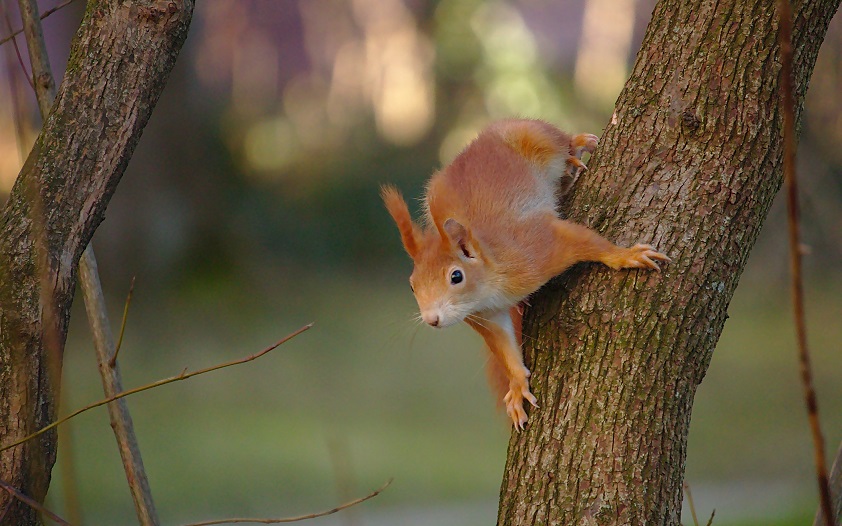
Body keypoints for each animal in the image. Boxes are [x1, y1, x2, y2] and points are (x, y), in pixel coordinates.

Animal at [382, 117, 668, 432]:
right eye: (412, 286)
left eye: (456, 277)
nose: (432, 320)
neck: (490, 288)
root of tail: (474, 143)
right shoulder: (486, 316)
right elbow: (504, 349)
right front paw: (518, 385)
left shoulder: (537, 248)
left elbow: (583, 241)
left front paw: (624, 255)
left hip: (530, 134)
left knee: (557, 141)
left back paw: (576, 148)